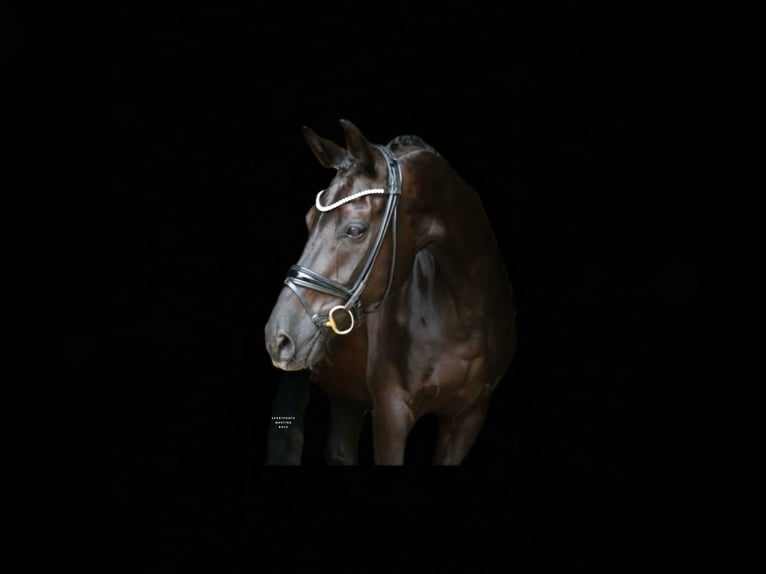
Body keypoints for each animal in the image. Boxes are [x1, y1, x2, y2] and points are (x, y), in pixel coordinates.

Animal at [264, 119, 517, 465]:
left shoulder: (468, 416)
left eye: (355, 229)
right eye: (309, 219)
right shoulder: (391, 412)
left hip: (347, 394)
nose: (278, 338)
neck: (464, 312)